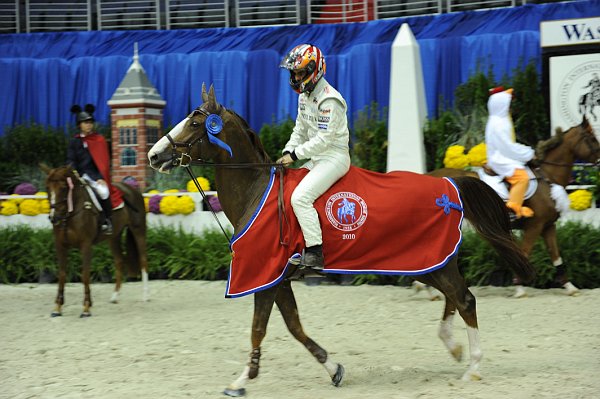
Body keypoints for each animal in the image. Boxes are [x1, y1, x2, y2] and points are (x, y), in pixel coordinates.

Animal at [43, 164, 149, 318]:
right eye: (47, 187)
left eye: (63, 187)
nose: (53, 218)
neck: (70, 213)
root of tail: (132, 189)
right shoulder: (60, 245)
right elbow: (62, 274)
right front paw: (57, 307)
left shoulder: (86, 245)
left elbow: (85, 275)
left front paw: (86, 308)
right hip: (114, 237)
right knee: (119, 261)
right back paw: (114, 296)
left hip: (138, 231)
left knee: (143, 260)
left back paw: (145, 295)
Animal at [146, 85, 536, 396]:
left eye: (196, 122)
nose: (154, 155)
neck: (256, 191)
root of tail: (448, 184)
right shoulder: (279, 279)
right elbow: (294, 327)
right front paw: (332, 368)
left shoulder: (264, 277)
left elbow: (259, 329)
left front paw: (242, 380)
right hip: (431, 262)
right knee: (455, 296)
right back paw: (454, 348)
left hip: (431, 262)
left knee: (465, 299)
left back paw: (473, 366)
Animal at [428, 115, 596, 296]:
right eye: (593, 138)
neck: (547, 178)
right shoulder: (534, 226)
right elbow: (525, 253)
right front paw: (519, 288)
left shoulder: (548, 226)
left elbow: (556, 256)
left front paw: (570, 287)